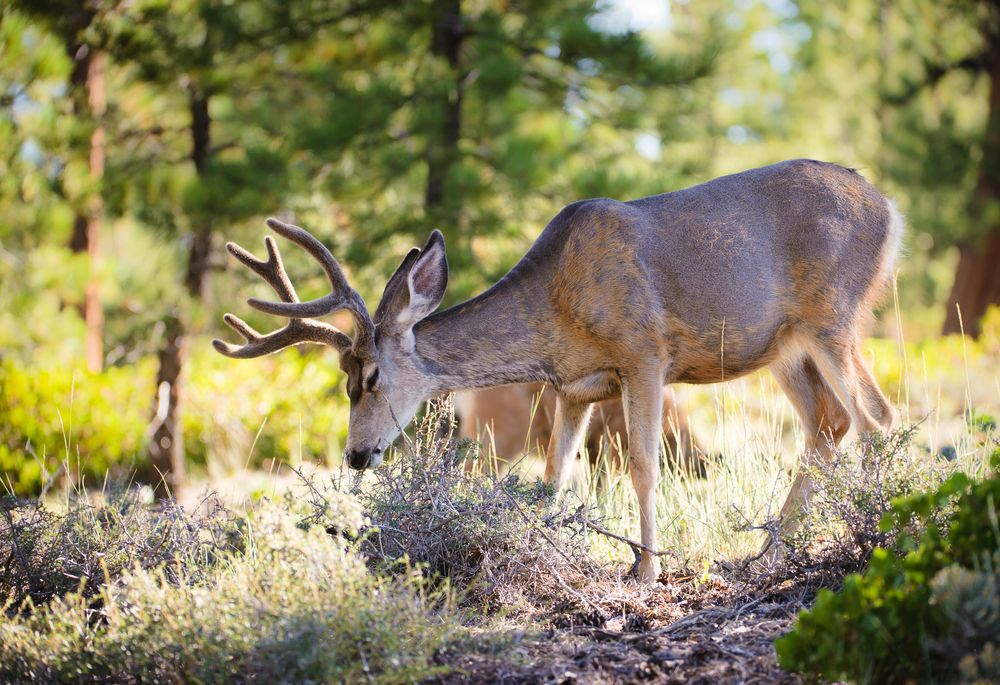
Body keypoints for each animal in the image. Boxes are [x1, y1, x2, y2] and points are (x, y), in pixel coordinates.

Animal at [214, 159, 901, 584]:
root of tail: (890, 207)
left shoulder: (644, 352)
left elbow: (643, 466)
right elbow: (552, 478)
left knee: (877, 417)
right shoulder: (574, 387)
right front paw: (545, 551)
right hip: (785, 347)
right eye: (344, 380)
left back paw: (877, 535)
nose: (357, 456)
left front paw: (646, 569)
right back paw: (766, 553)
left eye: (371, 379)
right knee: (829, 425)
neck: (556, 314)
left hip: (833, 314)